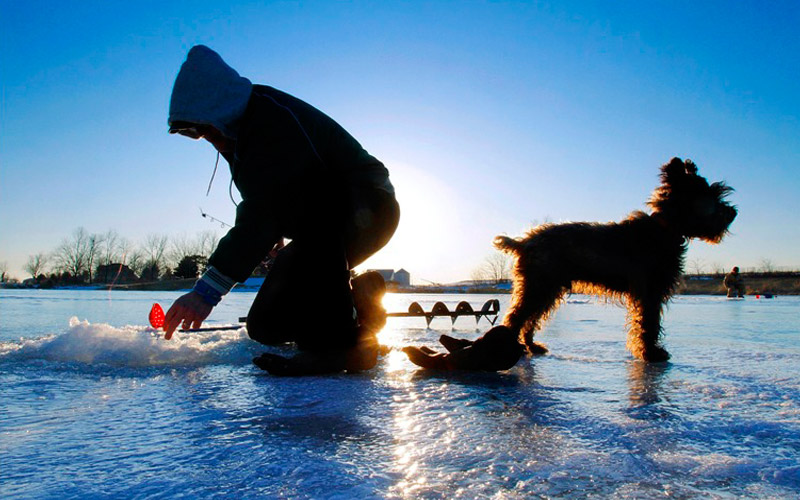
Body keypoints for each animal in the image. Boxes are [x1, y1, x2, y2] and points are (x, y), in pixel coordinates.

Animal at [494, 158, 736, 362]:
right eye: (711, 195)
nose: (732, 213)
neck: (664, 229)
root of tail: (524, 241)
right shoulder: (650, 290)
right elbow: (649, 323)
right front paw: (651, 353)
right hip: (539, 286)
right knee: (516, 317)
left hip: (547, 290)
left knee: (530, 320)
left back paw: (531, 346)